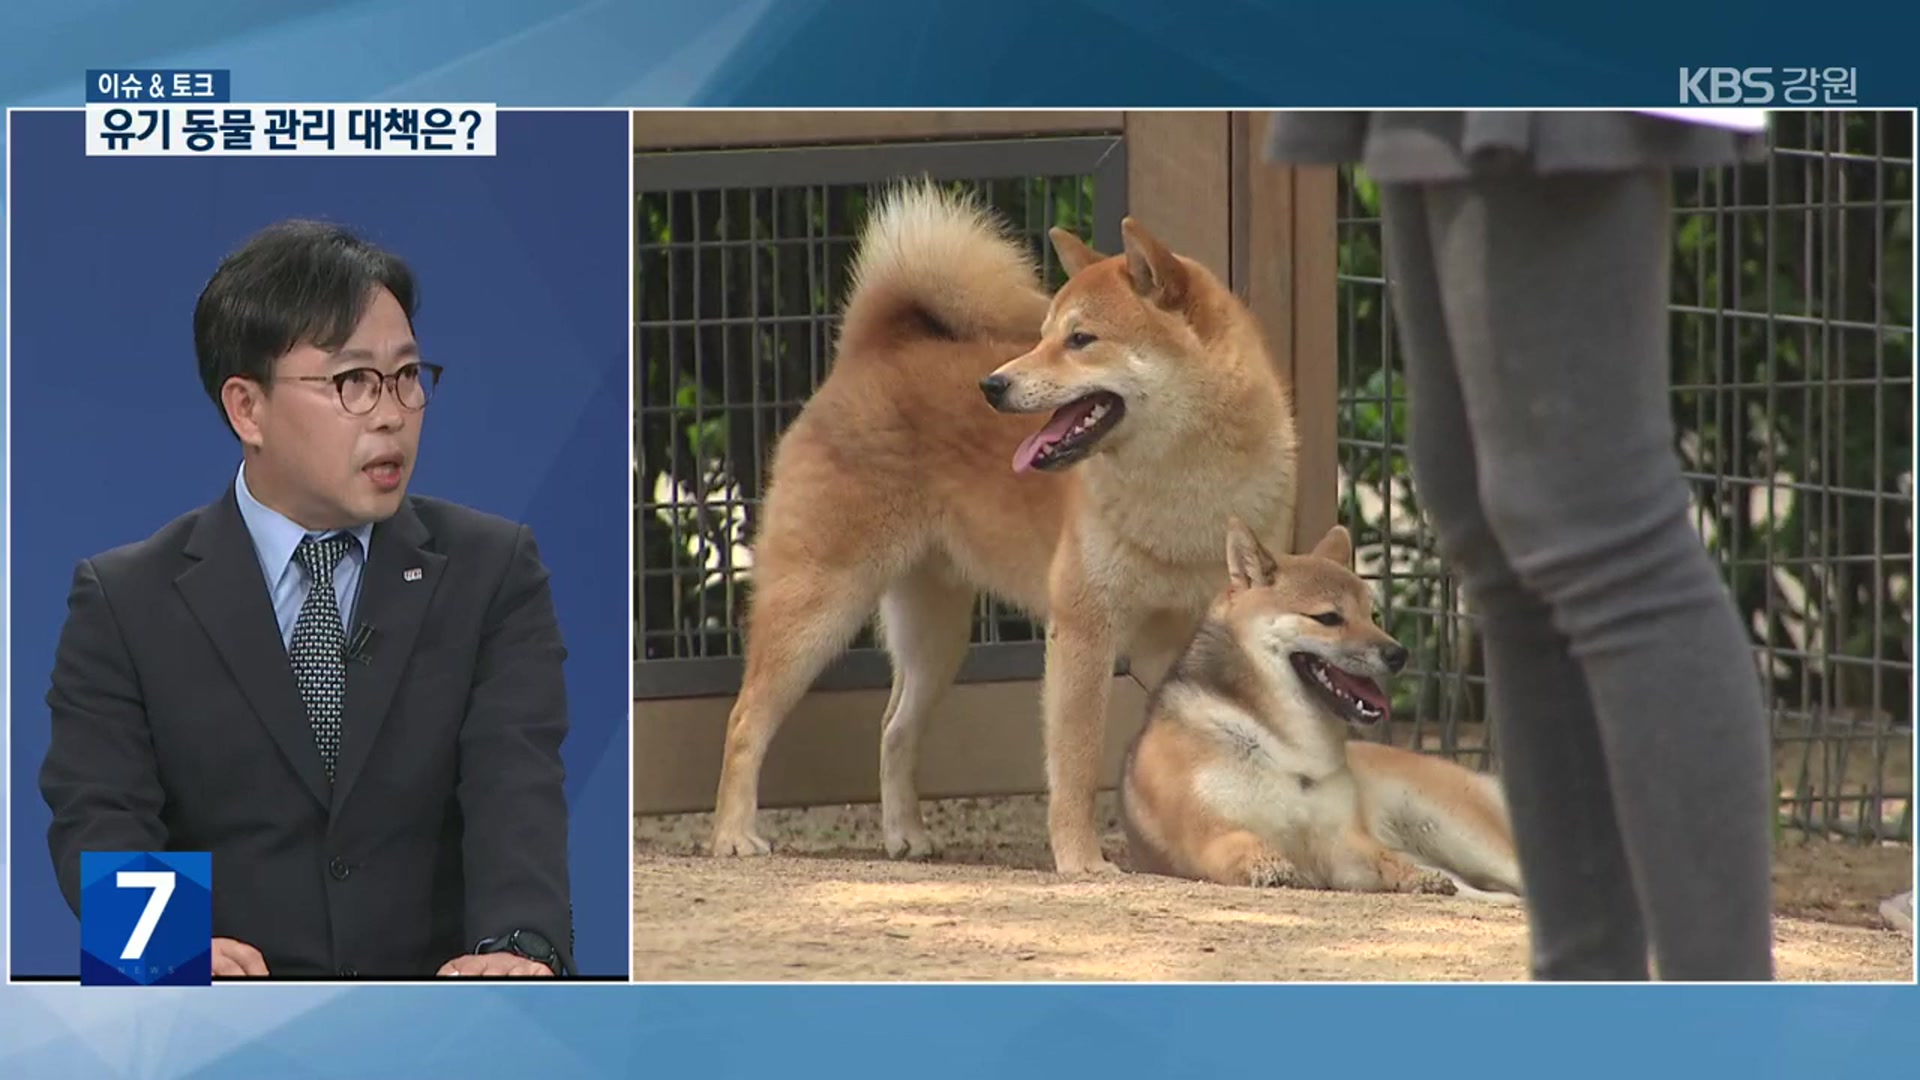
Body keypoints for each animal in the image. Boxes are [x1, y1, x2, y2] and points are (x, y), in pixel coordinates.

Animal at [710, 180, 1305, 868]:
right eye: (1045, 335)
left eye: (1081, 339)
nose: (992, 385)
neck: (1184, 486)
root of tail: (873, 349)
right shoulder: (1082, 632)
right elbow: (1075, 763)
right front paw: (1080, 860)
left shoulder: (1183, 642)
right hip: (819, 606)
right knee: (746, 719)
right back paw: (732, 834)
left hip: (935, 635)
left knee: (895, 728)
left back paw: (905, 835)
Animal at [1121, 518, 1520, 895]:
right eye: (1328, 618)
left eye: (1373, 615)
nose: (1398, 654)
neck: (1284, 745)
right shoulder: (1210, 834)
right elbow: (1245, 844)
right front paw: (1270, 866)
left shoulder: (1341, 842)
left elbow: (1384, 858)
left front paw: (1416, 876)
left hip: (1458, 834)